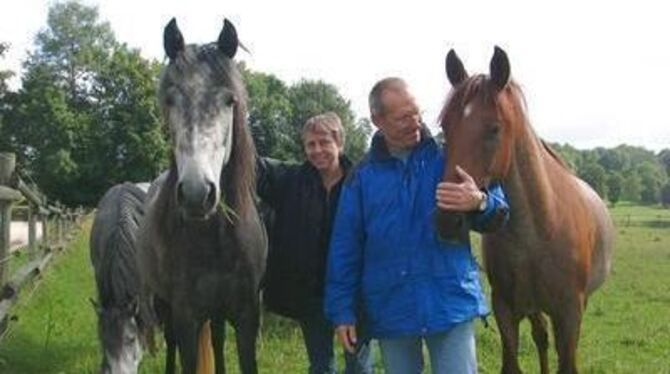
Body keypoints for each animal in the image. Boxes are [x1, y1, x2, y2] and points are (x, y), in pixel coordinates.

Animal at [138, 18, 268, 374]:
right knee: (170, 341)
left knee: (218, 339)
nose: (197, 194)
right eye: (170, 100)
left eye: (229, 101)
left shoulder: (247, 315)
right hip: (166, 304)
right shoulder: (186, 315)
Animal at [434, 47, 616, 374]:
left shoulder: (570, 314)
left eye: (494, 128)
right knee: (541, 337)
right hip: (532, 307)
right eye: (445, 126)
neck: (540, 228)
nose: (447, 220)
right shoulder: (506, 309)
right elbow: (513, 362)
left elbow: (567, 363)